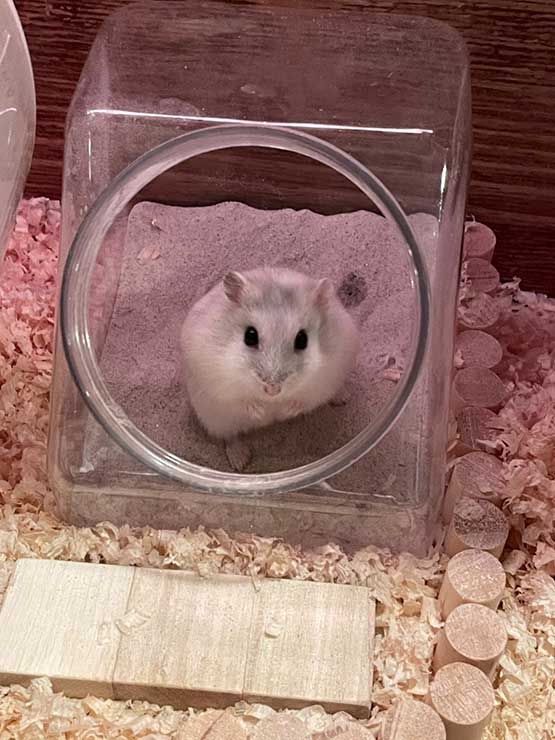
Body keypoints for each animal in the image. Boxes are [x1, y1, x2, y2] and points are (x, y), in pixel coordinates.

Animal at [180, 266, 360, 471]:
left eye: (302, 340)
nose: (272, 390)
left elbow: (304, 400)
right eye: (250, 336)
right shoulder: (217, 382)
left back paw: (343, 398)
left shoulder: (324, 380)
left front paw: (284, 412)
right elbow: (241, 400)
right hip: (215, 418)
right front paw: (261, 413)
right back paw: (240, 463)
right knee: (230, 437)